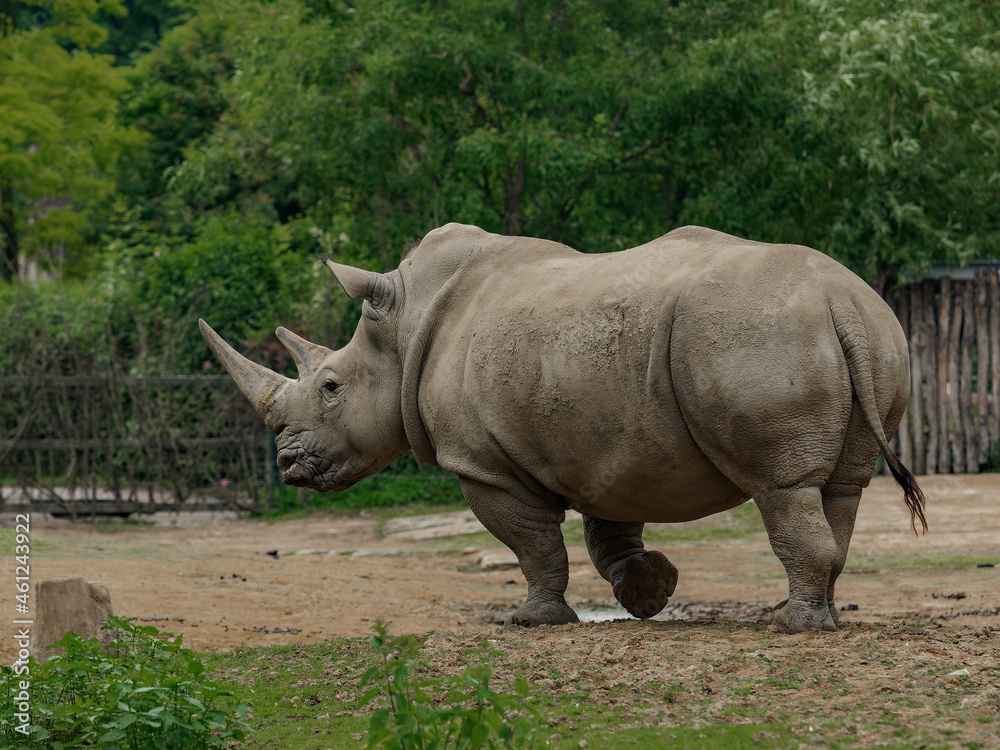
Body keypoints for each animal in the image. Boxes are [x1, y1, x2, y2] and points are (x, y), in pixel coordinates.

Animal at [200, 223, 926, 634]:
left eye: (330, 388)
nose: (288, 464)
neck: (403, 329)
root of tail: (839, 299)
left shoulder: (481, 462)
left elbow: (533, 544)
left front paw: (528, 620)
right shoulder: (612, 440)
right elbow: (610, 529)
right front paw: (650, 592)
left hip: (756, 335)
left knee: (783, 487)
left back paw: (796, 628)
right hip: (876, 334)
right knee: (840, 490)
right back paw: (818, 615)